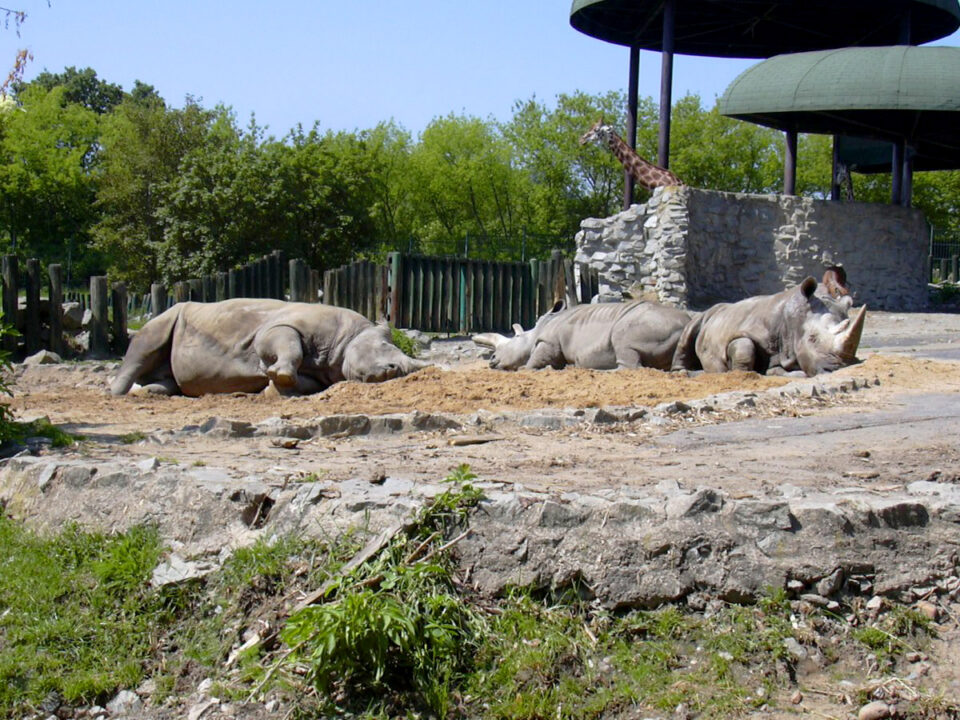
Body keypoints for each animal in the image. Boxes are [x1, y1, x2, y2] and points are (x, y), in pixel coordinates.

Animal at [110, 299, 428, 397]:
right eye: (382, 352)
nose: (392, 372)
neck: (346, 339)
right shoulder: (277, 329)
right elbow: (290, 347)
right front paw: (280, 375)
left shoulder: (322, 375)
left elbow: (303, 381)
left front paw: (272, 384)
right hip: (167, 316)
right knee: (146, 342)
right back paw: (116, 395)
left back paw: (151, 393)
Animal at [473, 300, 694, 371]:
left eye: (515, 338)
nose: (492, 359)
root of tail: (687, 322)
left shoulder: (549, 341)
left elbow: (532, 362)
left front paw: (525, 369)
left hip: (647, 322)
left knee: (623, 342)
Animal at [671, 277, 866, 377]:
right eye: (813, 339)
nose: (840, 368)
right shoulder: (743, 330)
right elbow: (744, 348)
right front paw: (740, 374)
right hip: (706, 314)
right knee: (690, 331)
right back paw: (683, 373)